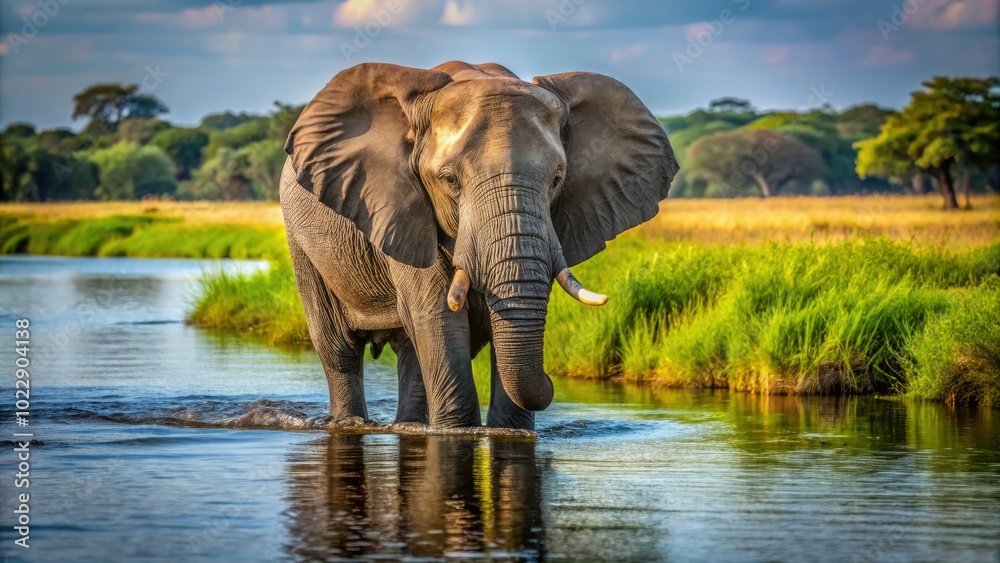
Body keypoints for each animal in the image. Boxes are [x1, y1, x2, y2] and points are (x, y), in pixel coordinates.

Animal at [279, 60, 678, 430]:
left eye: (557, 180)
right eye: (450, 180)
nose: (554, 379)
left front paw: (504, 431)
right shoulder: (403, 211)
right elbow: (437, 315)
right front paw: (459, 433)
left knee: (410, 353)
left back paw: (409, 426)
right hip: (301, 241)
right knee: (339, 349)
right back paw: (351, 422)